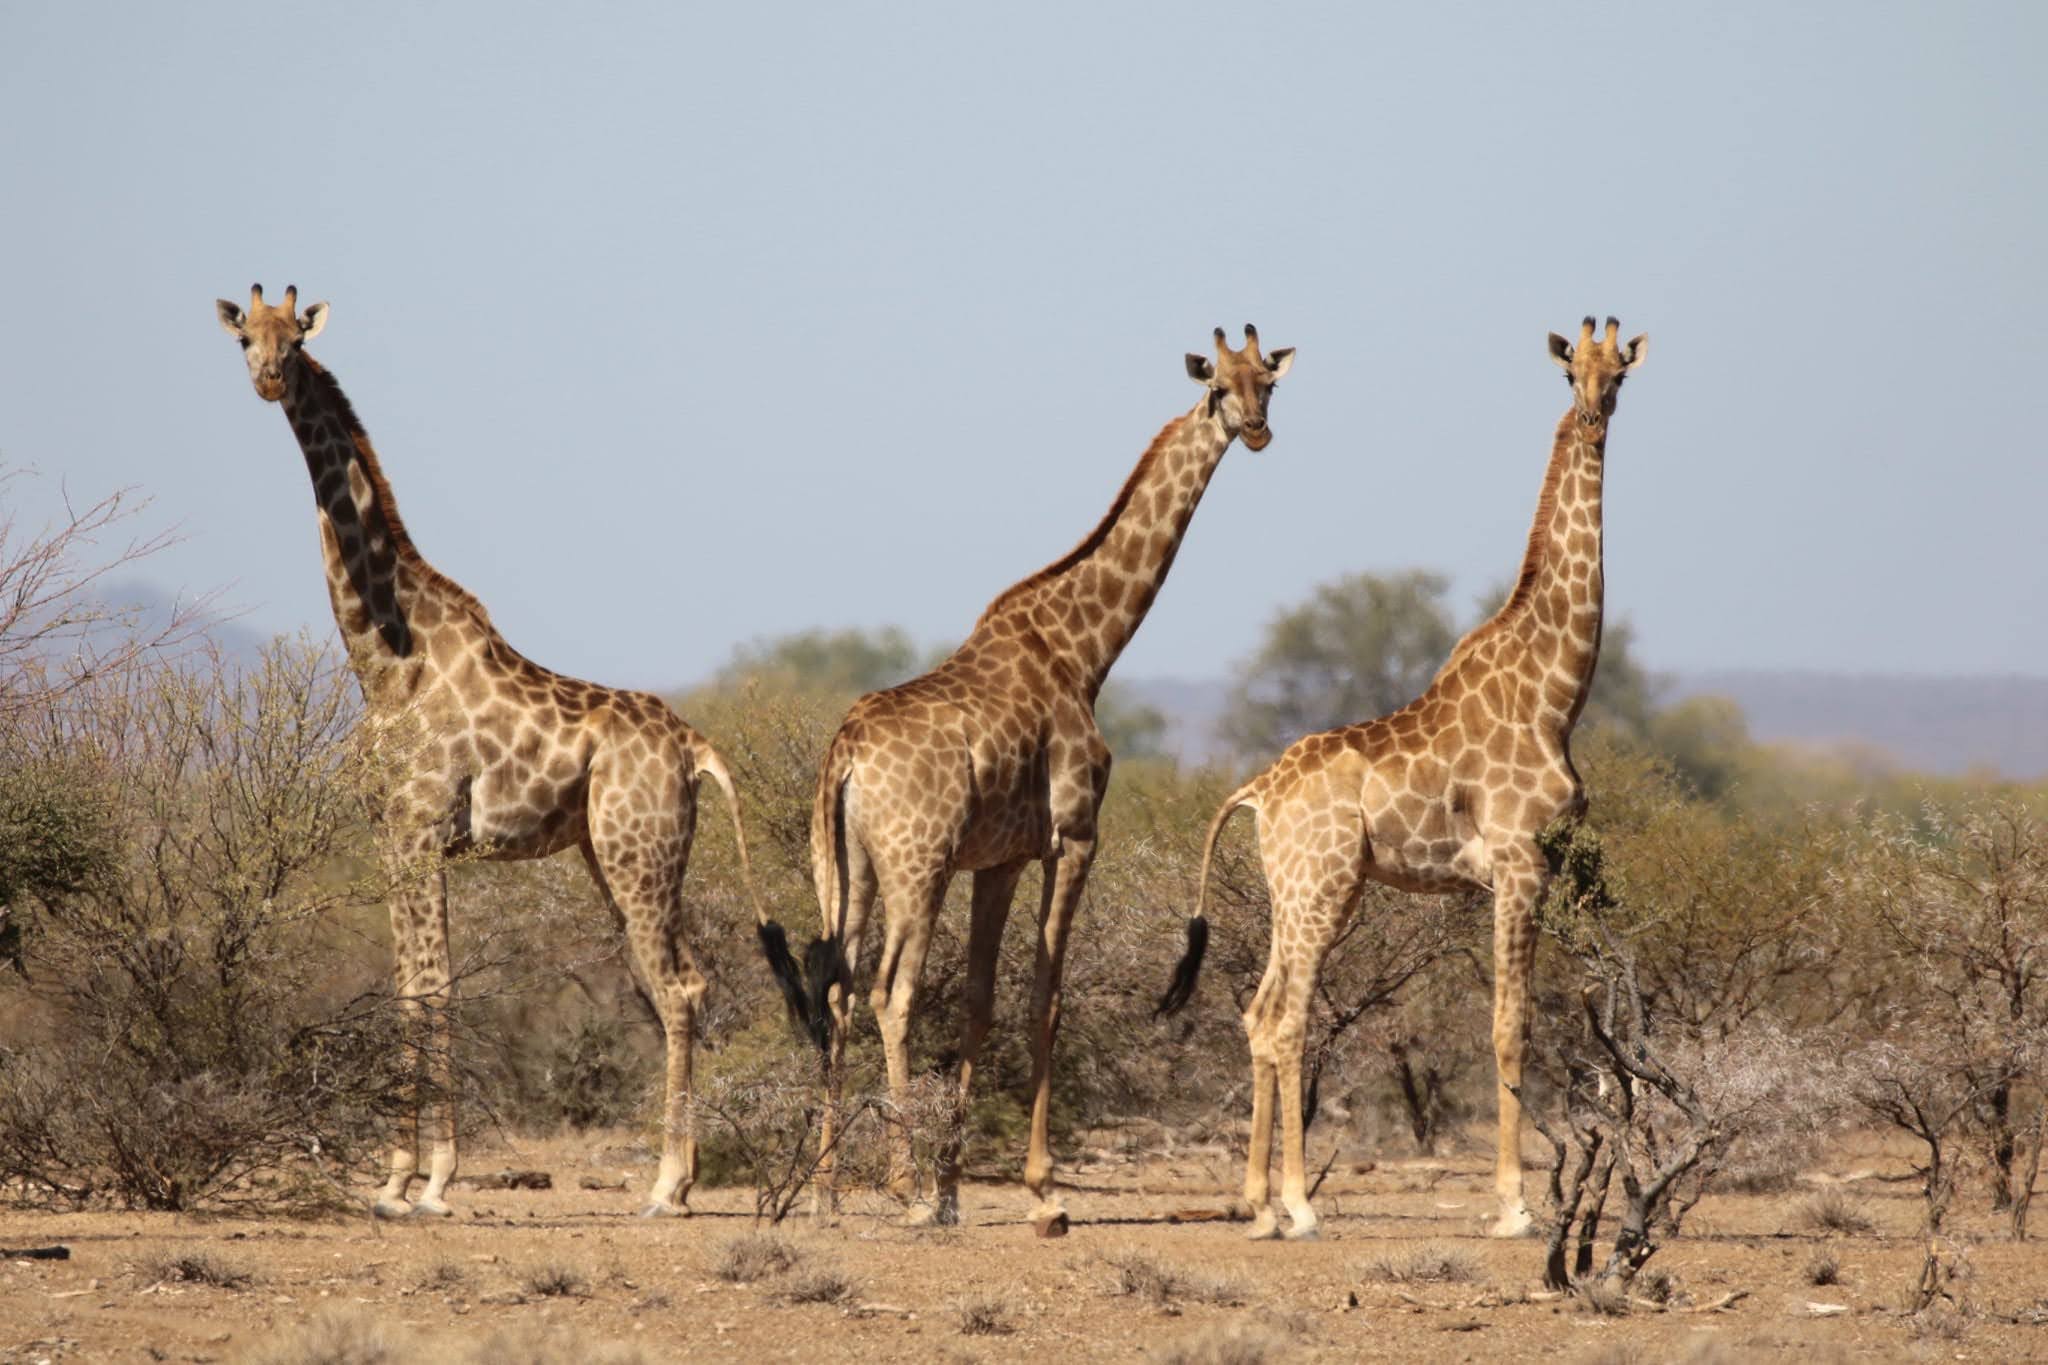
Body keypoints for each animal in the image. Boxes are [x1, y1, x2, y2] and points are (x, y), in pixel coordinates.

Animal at [211, 280, 806, 1219]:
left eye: (296, 340)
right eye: (245, 339)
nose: (270, 378)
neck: (386, 658)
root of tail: (696, 747)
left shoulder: (422, 829)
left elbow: (433, 987)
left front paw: (433, 1181)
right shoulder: (390, 836)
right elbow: (411, 986)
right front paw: (393, 1176)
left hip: (637, 854)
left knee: (677, 986)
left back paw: (665, 1185)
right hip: (615, 855)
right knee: (683, 980)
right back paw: (678, 1179)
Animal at [806, 325, 1286, 1236]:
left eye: (1268, 382)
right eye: (1217, 385)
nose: (1255, 430)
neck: (1084, 650)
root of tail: (843, 754)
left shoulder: (998, 859)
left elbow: (981, 1001)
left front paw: (955, 1187)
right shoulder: (1074, 836)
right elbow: (1046, 998)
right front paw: (1041, 1193)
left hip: (845, 867)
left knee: (841, 985)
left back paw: (822, 1182)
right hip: (917, 864)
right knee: (892, 990)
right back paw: (897, 1186)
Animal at [1163, 317, 1638, 1236]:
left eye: (1622, 375)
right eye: (1571, 372)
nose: (1596, 416)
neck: (1557, 690)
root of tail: (1256, 792)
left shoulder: (1542, 868)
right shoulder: (1520, 865)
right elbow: (1510, 1025)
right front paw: (1514, 1206)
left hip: (1295, 891)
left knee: (1256, 1011)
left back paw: (1258, 1204)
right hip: (1323, 886)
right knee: (1286, 1021)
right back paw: (1299, 1206)